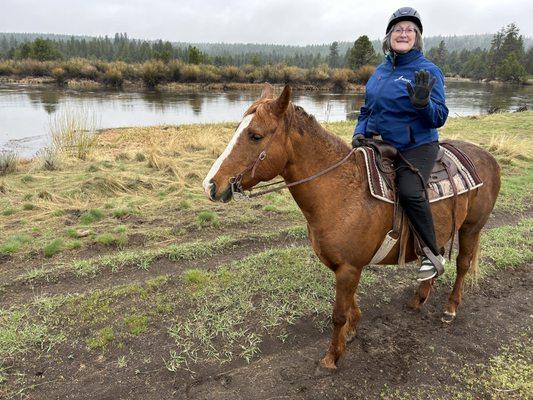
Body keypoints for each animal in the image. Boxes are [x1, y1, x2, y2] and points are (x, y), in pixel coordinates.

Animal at [202, 83, 500, 368]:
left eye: (255, 135)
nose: (211, 185)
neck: (343, 191)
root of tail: (487, 157)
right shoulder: (345, 267)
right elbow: (351, 305)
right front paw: (352, 330)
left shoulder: (348, 268)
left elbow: (337, 314)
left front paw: (332, 357)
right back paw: (419, 299)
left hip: (471, 228)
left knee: (462, 264)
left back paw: (450, 308)